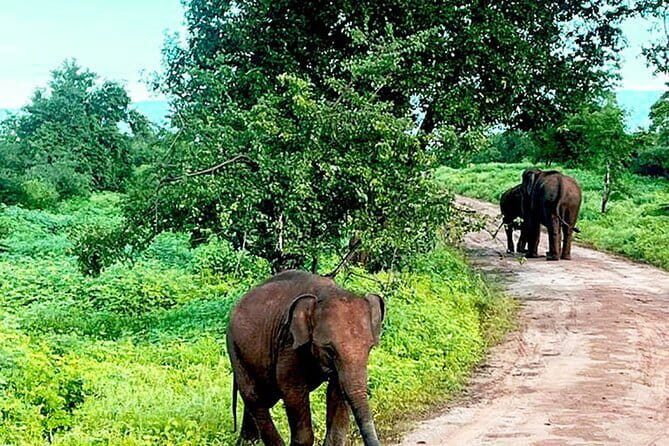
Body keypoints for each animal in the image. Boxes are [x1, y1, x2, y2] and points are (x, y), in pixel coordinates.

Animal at [227, 270, 385, 446]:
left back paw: (246, 441)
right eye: (330, 350)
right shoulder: (289, 342)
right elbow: (293, 391)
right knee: (254, 397)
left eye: (370, 349)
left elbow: (338, 391)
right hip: (235, 350)